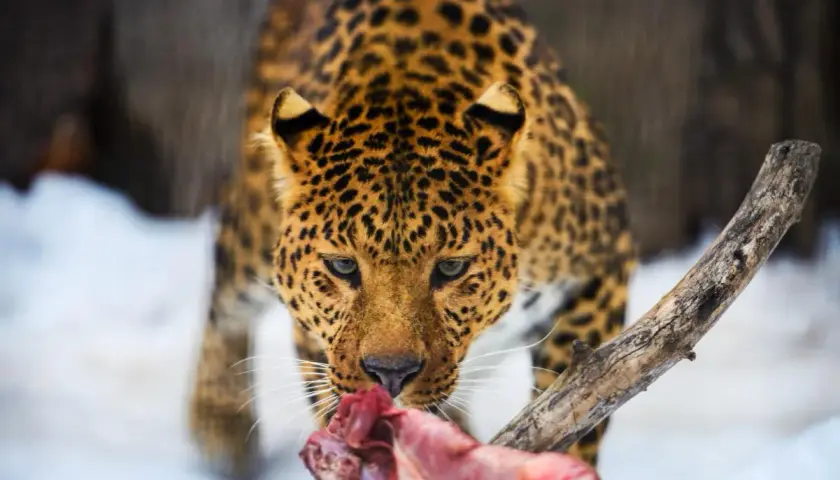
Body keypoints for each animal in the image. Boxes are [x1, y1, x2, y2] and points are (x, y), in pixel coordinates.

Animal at [188, 0, 637, 478]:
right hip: (251, 228)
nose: (391, 374)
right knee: (224, 293)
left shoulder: (603, 266)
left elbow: (578, 400)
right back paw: (219, 425)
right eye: (343, 266)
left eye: (451, 268)